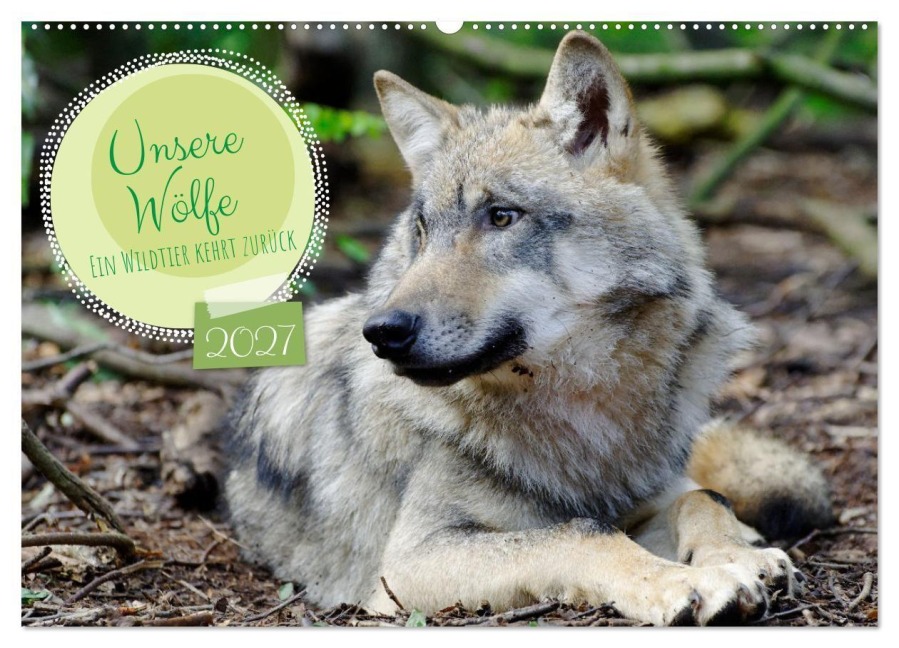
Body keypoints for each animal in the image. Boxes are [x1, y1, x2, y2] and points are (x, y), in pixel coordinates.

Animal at [224, 31, 833, 626]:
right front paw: (685, 582)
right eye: (422, 231)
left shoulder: (649, 494)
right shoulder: (408, 564)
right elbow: (582, 533)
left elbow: (701, 497)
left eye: (501, 217)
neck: (582, 414)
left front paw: (740, 557)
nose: (383, 331)